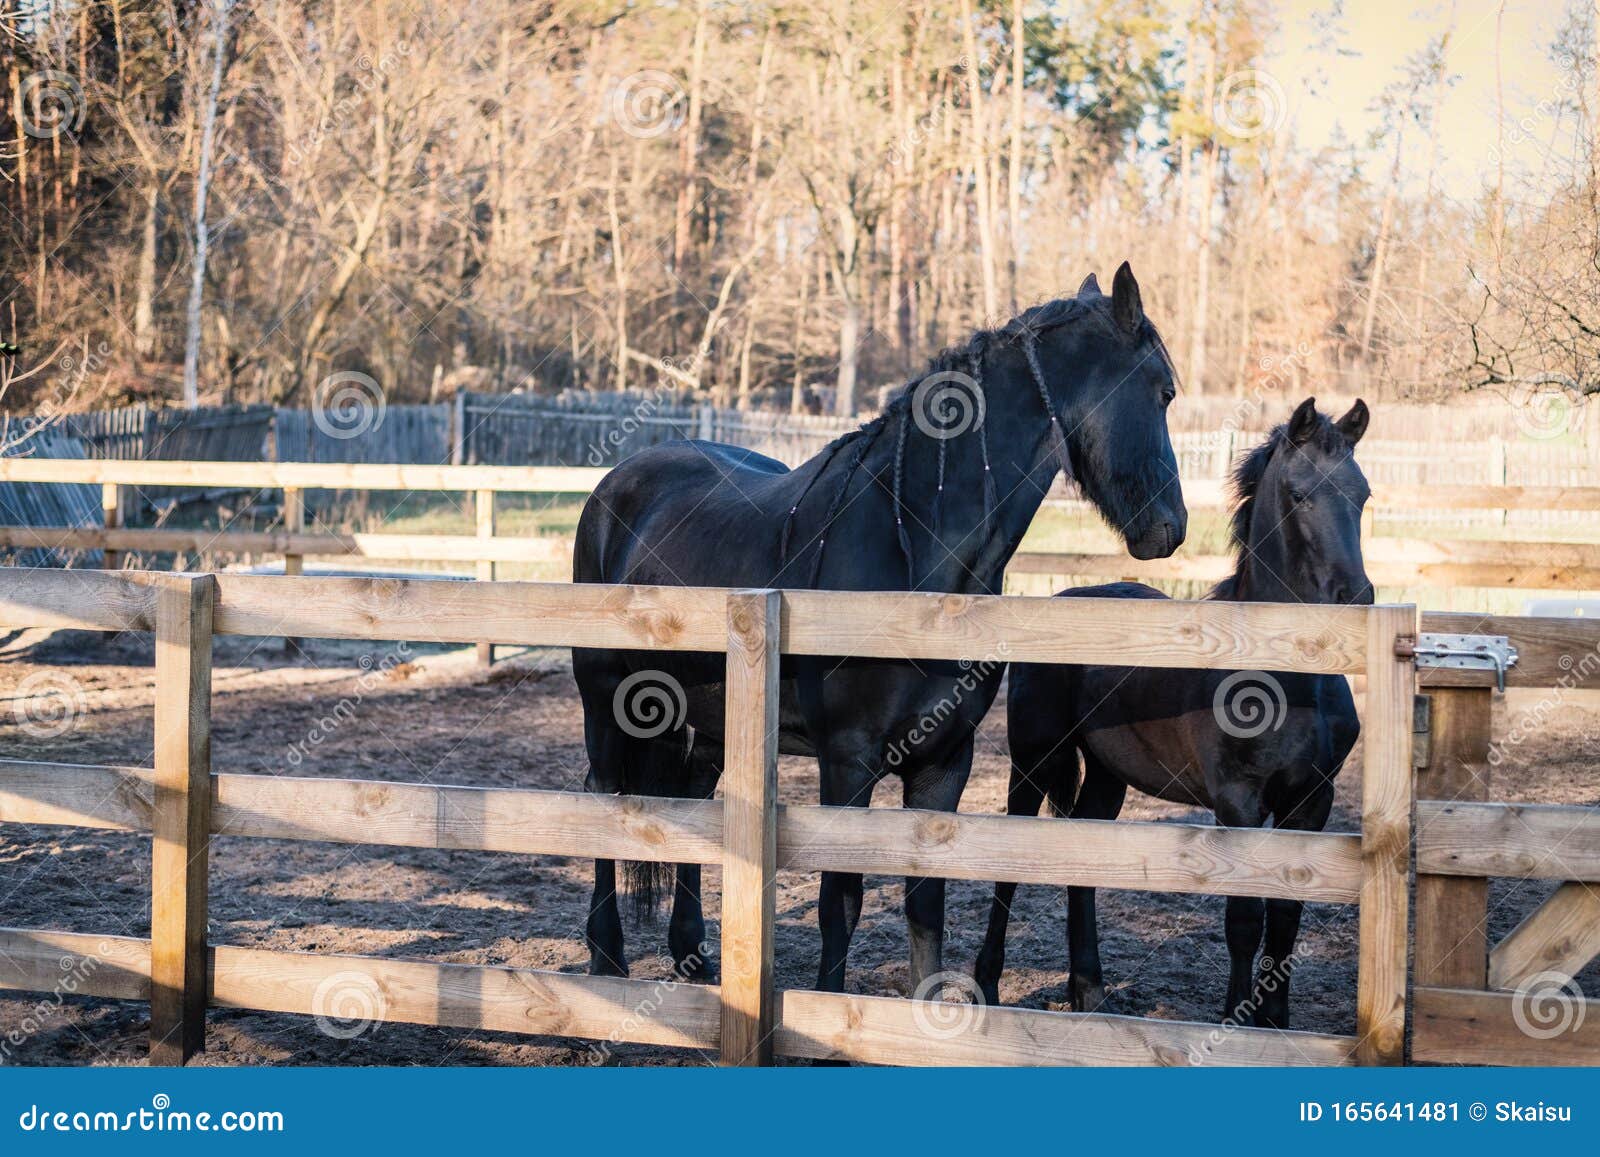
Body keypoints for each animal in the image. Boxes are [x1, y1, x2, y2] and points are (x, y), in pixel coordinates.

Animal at [572, 263, 1188, 995]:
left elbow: (925, 899)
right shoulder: (849, 759)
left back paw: (693, 954)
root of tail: (616, 486)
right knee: (605, 802)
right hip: (606, 704)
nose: (1172, 526)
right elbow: (841, 898)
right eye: (1163, 391)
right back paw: (606, 958)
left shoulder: (944, 761)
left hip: (712, 719)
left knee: (692, 803)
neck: (915, 560)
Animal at [974, 397, 1372, 1030]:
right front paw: (1236, 1020)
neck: (1286, 679)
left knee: (1083, 858)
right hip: (1034, 759)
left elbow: (1287, 915)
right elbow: (1244, 920)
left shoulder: (1312, 800)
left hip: (1106, 776)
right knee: (1009, 861)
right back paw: (987, 984)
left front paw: (1277, 1023)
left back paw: (1089, 991)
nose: (1356, 597)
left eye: (1362, 494)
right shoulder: (1238, 803)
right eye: (1299, 494)